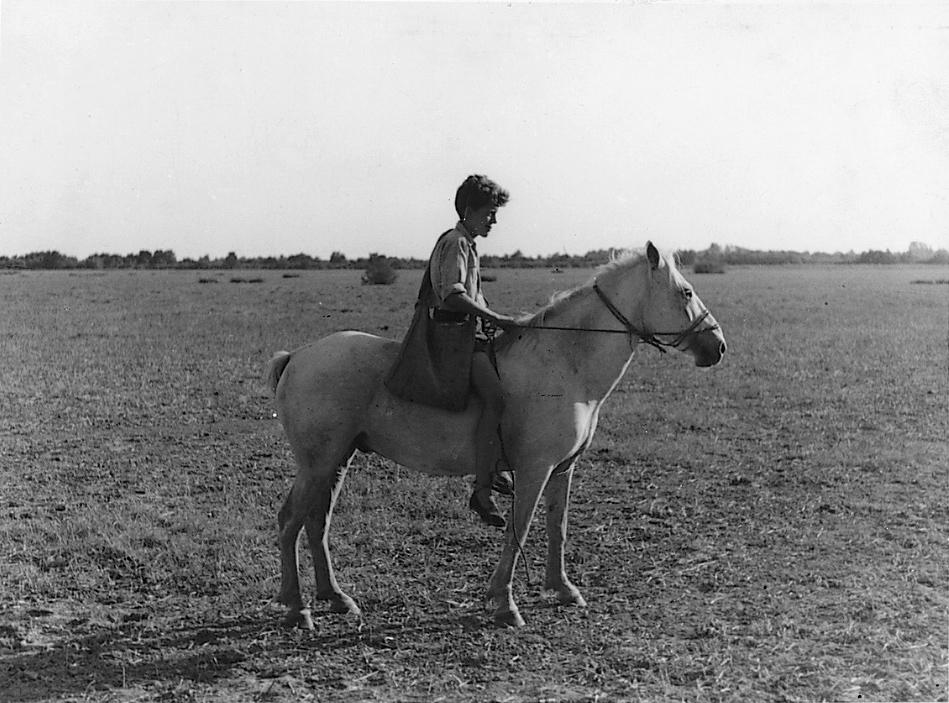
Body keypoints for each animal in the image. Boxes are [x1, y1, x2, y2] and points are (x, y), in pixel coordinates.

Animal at [266, 242, 724, 628]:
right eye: (685, 292)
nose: (717, 346)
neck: (566, 363)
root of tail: (297, 356)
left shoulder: (562, 470)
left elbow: (557, 526)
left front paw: (562, 589)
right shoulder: (535, 469)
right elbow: (518, 530)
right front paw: (505, 603)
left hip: (338, 460)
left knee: (316, 524)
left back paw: (335, 597)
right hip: (317, 464)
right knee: (290, 521)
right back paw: (297, 609)